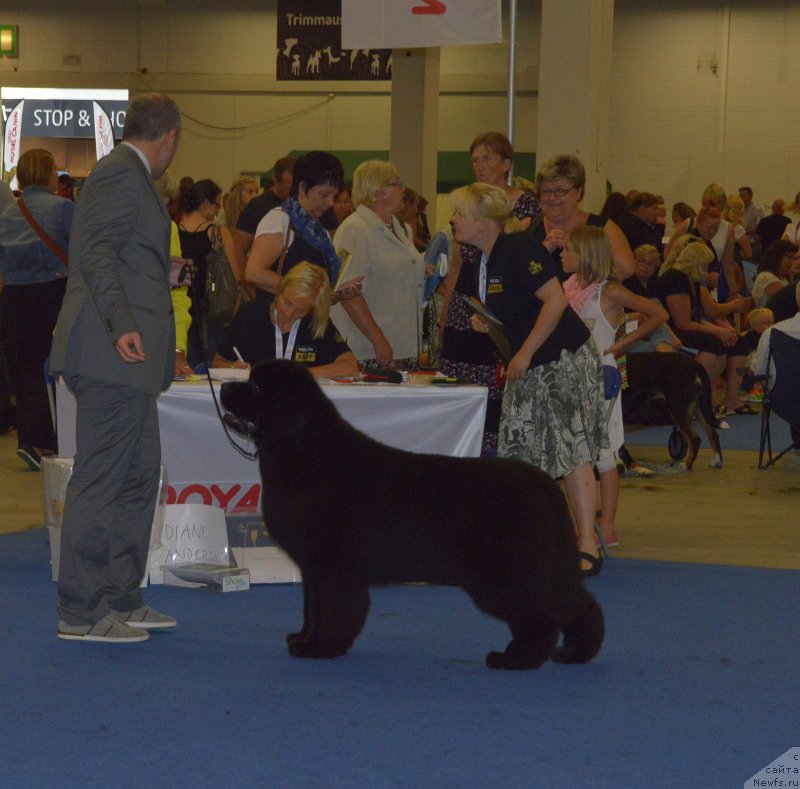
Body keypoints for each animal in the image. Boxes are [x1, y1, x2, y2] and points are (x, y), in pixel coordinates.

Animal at [222, 360, 604, 668]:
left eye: (256, 387)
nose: (223, 386)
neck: (301, 451)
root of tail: (544, 482)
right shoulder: (313, 569)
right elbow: (312, 610)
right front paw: (304, 640)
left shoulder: (332, 568)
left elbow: (333, 610)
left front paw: (321, 648)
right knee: (575, 604)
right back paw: (575, 652)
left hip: (507, 576)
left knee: (540, 617)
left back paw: (515, 659)